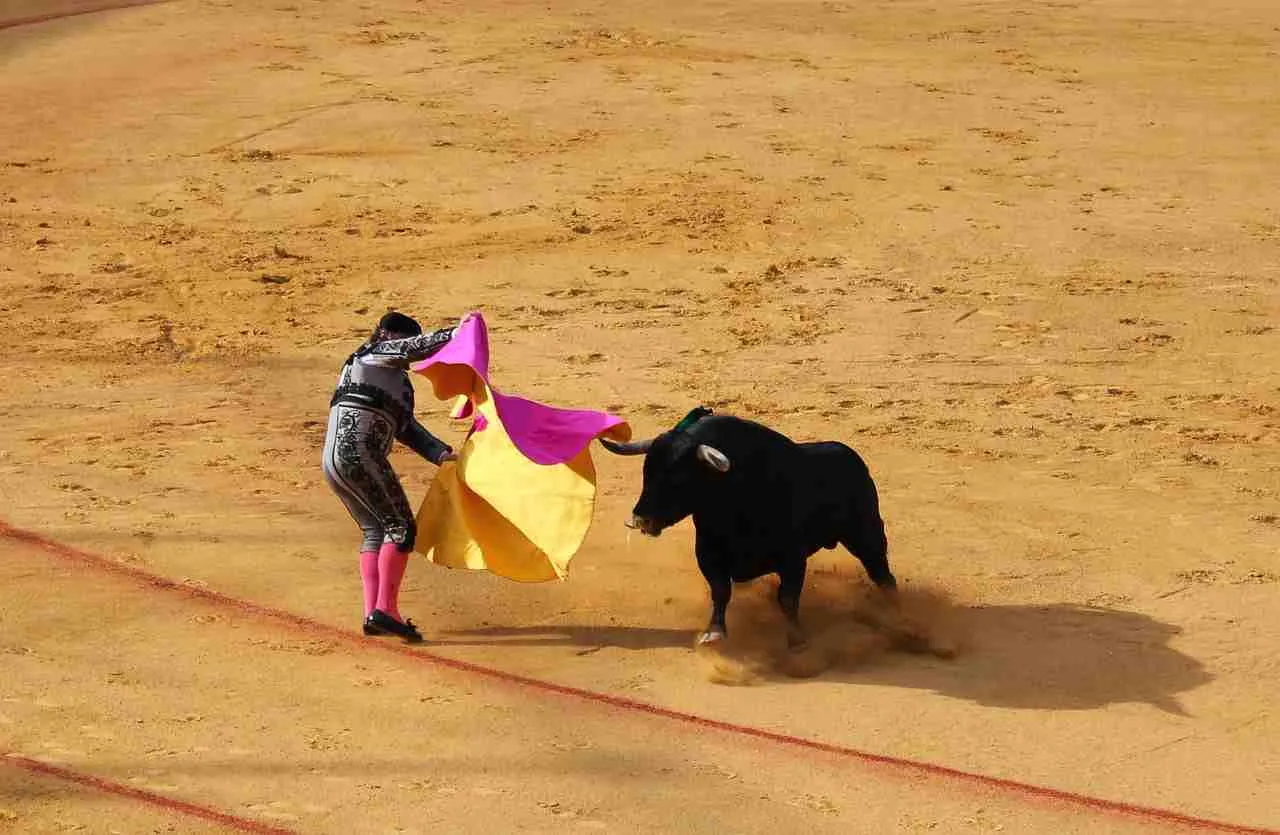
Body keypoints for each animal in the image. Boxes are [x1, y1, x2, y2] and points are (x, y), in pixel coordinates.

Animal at [600, 406, 897, 651]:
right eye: (646, 472)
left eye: (678, 478)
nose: (638, 519)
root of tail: (853, 458)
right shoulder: (708, 555)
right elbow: (721, 592)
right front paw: (714, 633)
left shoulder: (792, 558)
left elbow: (787, 598)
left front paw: (796, 638)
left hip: (866, 533)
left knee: (881, 572)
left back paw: (894, 609)